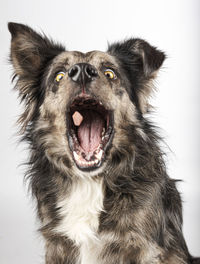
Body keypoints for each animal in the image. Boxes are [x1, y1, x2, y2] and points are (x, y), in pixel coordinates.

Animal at [8, 22, 199, 264]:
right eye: (59, 75)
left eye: (110, 73)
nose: (81, 71)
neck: (89, 182)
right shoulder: (58, 245)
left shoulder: (146, 248)